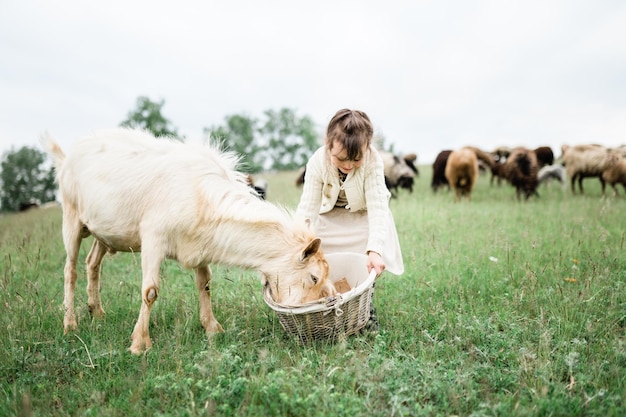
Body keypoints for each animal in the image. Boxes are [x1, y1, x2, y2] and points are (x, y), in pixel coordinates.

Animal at [40, 128, 334, 352]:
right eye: (314, 277)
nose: (315, 315)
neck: (201, 194)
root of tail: (67, 156)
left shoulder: (200, 246)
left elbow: (205, 284)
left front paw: (212, 328)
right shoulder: (153, 238)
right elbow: (150, 291)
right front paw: (139, 343)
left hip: (104, 232)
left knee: (92, 264)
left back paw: (98, 313)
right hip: (71, 218)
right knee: (70, 270)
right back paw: (70, 324)